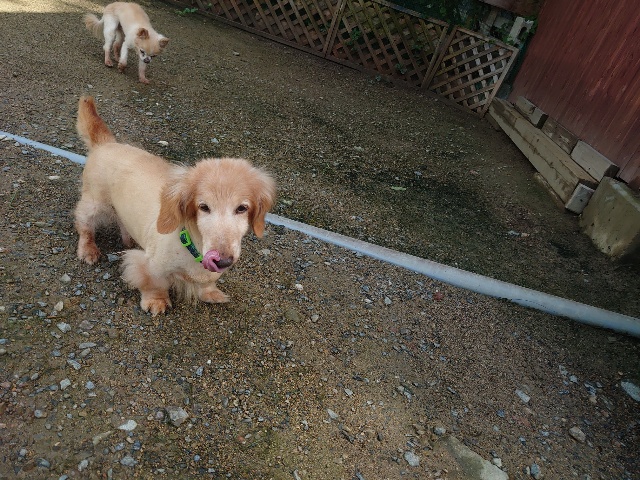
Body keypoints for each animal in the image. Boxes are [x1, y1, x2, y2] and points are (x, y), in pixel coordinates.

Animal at [74, 96, 276, 314]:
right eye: (203, 207)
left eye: (242, 208)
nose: (222, 260)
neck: (192, 244)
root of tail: (106, 143)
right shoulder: (150, 265)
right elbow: (154, 283)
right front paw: (156, 301)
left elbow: (207, 284)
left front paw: (211, 293)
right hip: (93, 203)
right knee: (84, 225)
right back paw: (88, 250)